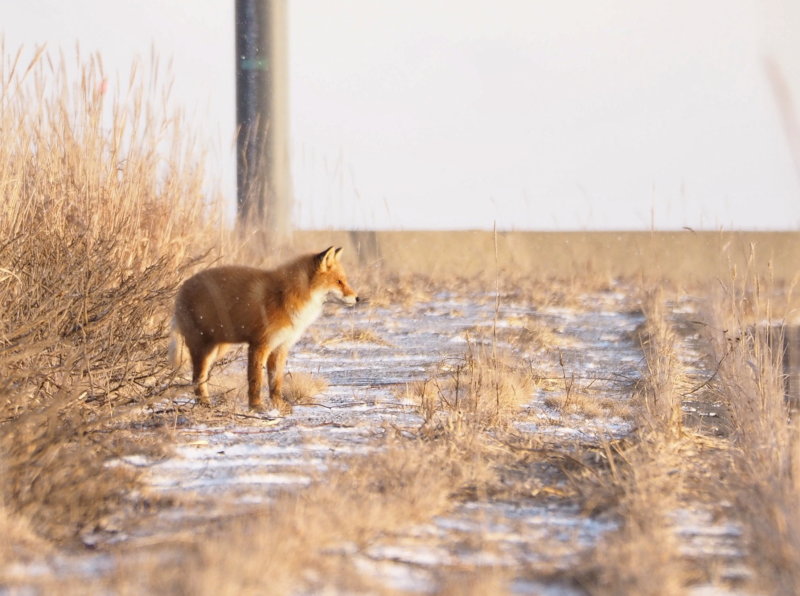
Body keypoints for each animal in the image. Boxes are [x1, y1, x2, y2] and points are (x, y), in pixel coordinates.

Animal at [169, 244, 360, 412]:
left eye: (344, 281)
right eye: (339, 282)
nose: (358, 298)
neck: (287, 296)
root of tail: (182, 287)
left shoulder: (281, 347)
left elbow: (275, 382)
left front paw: (278, 406)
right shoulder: (260, 345)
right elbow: (256, 380)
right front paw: (256, 407)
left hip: (218, 348)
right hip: (203, 348)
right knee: (197, 378)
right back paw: (204, 405)